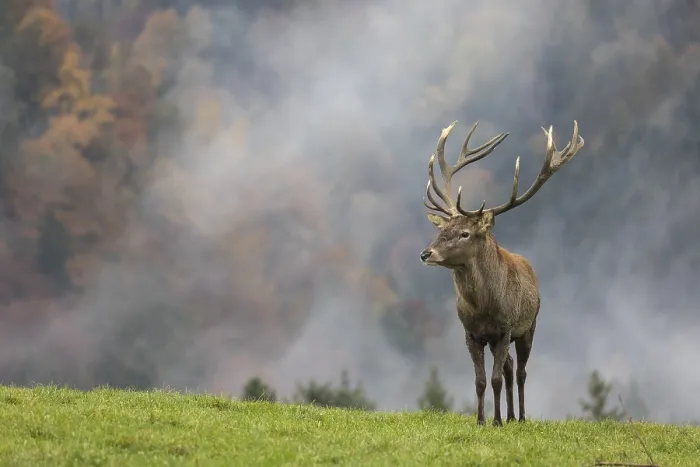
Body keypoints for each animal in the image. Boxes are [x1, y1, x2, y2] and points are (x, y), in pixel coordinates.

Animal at [419, 119, 584, 426]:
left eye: (465, 233)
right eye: (441, 230)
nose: (426, 254)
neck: (484, 308)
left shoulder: (505, 330)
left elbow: (495, 379)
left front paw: (494, 421)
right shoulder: (471, 334)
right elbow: (480, 381)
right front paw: (482, 420)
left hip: (530, 325)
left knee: (520, 372)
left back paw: (519, 417)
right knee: (509, 368)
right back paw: (509, 415)